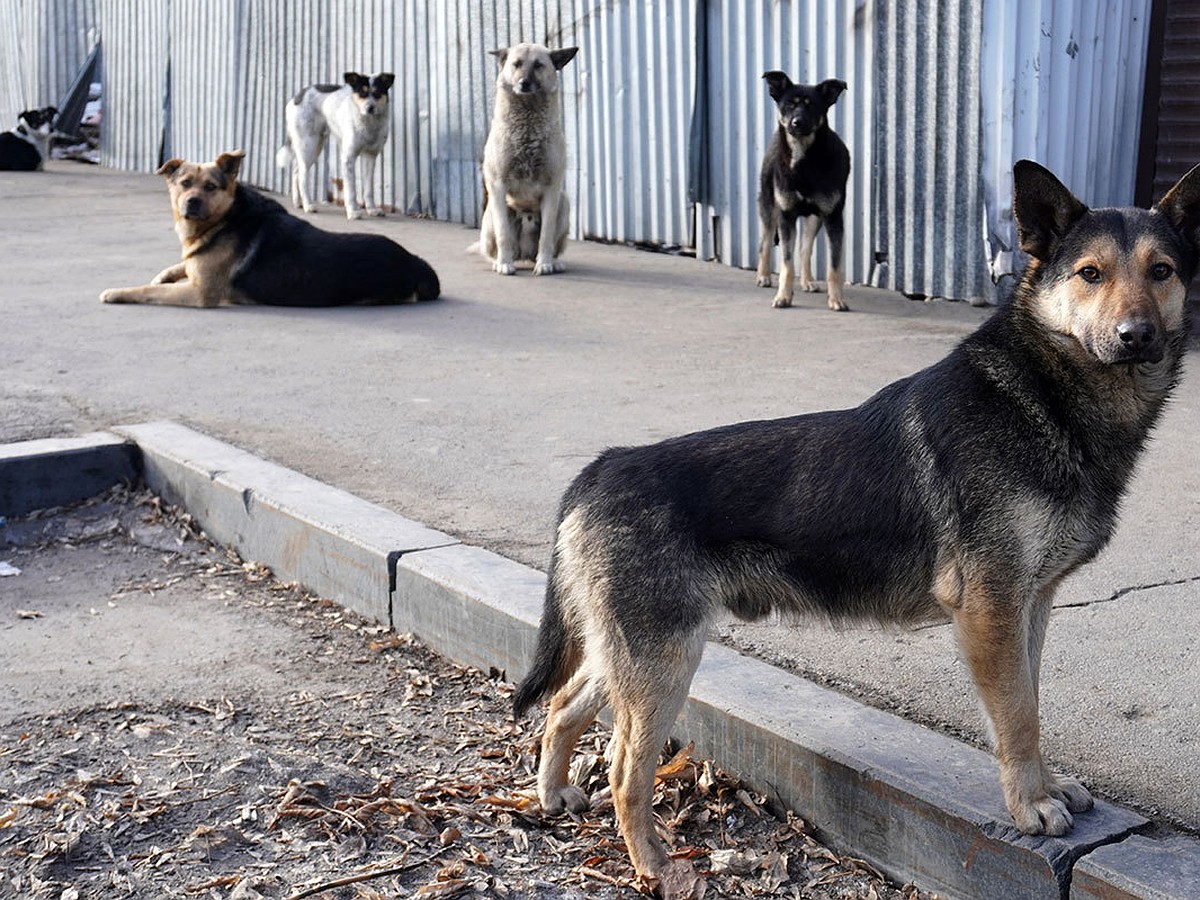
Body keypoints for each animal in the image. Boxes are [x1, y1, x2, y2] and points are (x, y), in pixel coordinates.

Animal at [98, 151, 436, 309]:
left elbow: (148, 290)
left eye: (210, 187)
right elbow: (178, 266)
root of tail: (414, 261)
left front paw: (117, 292)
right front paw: (165, 272)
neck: (226, 218)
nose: (192, 202)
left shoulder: (200, 293)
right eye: (184, 183)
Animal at [276, 73, 393, 220]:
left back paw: (298, 202)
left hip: (314, 147)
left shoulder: (370, 156)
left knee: (296, 171)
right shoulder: (348, 158)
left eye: (377, 93)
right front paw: (352, 211)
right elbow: (351, 190)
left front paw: (371, 209)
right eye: (362, 93)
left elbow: (368, 189)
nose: (370, 108)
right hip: (308, 145)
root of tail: (296, 97)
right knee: (302, 176)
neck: (369, 123)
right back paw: (308, 205)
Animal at [477, 42, 576, 274]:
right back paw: (501, 260)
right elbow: (504, 235)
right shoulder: (498, 186)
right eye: (516, 64)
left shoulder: (552, 189)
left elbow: (546, 235)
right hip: (490, 216)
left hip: (564, 203)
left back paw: (552, 261)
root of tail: (523, 254)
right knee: (496, 247)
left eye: (538, 65)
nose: (524, 83)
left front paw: (545, 263)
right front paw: (504, 264)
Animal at [516, 158, 1200, 897]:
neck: (1041, 395)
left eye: (1162, 271)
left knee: (562, 705)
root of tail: (601, 468)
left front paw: (1044, 785)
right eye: (1090, 274)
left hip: (633, 654)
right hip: (664, 663)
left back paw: (552, 795)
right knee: (623, 769)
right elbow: (1017, 715)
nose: (1136, 336)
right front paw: (1029, 806)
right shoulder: (990, 610)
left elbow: (1032, 702)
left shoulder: (1030, 607)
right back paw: (655, 866)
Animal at [753, 72, 849, 309]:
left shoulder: (833, 218)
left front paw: (836, 299)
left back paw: (807, 281)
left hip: (815, 218)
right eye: (789, 104)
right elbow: (787, 264)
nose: (796, 122)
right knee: (765, 240)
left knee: (806, 249)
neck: (804, 160)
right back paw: (763, 276)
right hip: (769, 205)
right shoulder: (786, 215)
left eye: (811, 105)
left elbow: (834, 267)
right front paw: (783, 297)